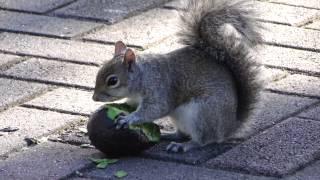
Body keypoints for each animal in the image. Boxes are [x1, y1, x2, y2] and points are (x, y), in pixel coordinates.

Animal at [92, 0, 262, 153]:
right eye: (98, 72)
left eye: (113, 81)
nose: (94, 98)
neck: (143, 76)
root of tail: (230, 126)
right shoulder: (136, 98)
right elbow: (132, 104)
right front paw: (119, 108)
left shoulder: (159, 89)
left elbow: (156, 109)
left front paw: (129, 118)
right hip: (181, 118)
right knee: (182, 134)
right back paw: (168, 135)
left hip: (202, 115)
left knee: (204, 140)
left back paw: (184, 146)